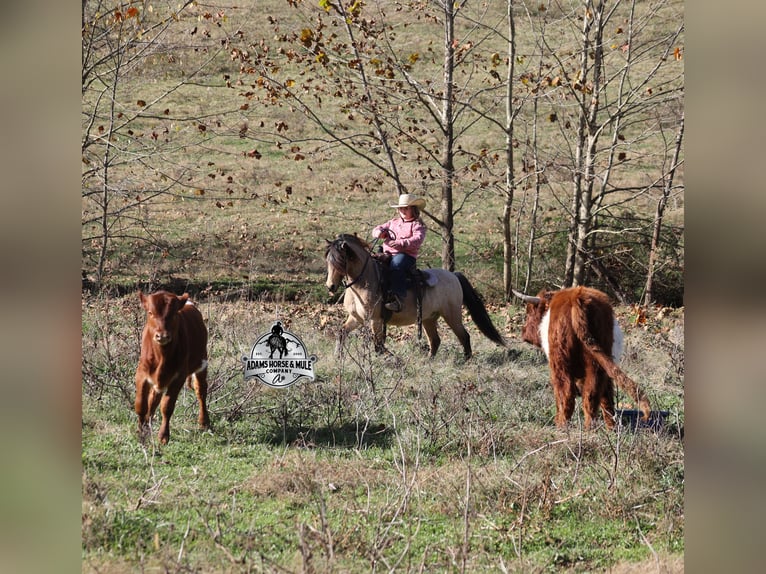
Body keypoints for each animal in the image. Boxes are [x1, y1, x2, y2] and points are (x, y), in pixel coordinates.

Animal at [324, 234, 506, 359]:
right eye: (328, 261)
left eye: (340, 261)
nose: (330, 286)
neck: (365, 281)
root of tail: (454, 276)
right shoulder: (356, 318)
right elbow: (342, 332)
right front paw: (338, 356)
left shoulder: (375, 320)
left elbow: (378, 345)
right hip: (428, 318)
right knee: (435, 340)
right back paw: (429, 361)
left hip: (452, 315)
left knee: (464, 336)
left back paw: (466, 359)